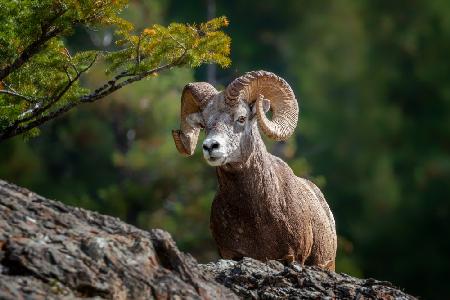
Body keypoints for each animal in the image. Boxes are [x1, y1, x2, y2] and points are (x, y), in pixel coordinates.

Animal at [172, 71, 338, 272]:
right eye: (203, 124)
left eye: (241, 118)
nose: (210, 147)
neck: (255, 216)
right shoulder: (231, 254)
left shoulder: (293, 258)